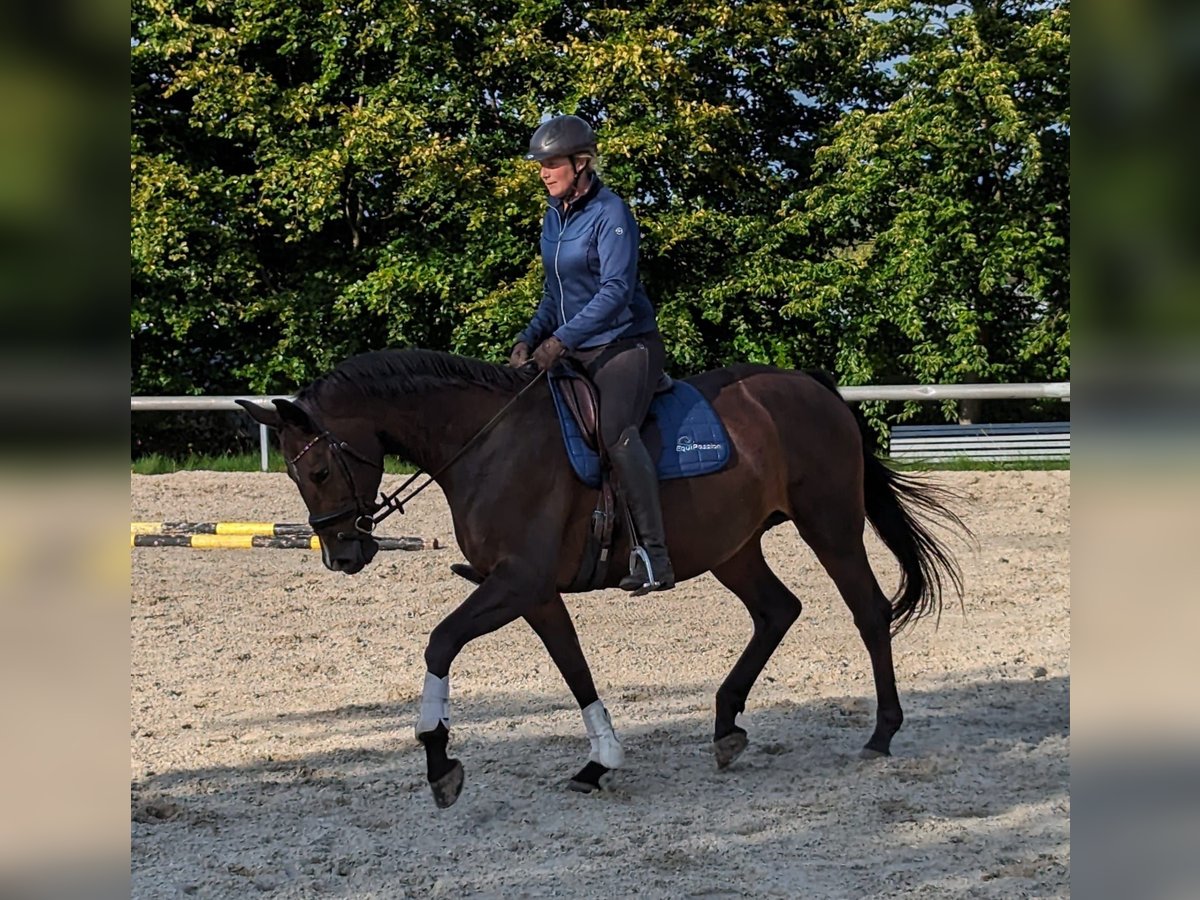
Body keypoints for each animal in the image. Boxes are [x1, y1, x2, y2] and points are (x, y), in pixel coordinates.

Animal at [238, 350, 969, 811]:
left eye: (320, 470)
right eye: (295, 475)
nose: (343, 554)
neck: (487, 444)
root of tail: (816, 389)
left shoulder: (515, 584)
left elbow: (441, 643)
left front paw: (439, 760)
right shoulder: (531, 592)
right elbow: (574, 667)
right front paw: (600, 762)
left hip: (830, 524)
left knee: (868, 610)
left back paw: (881, 733)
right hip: (732, 547)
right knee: (776, 611)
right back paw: (726, 725)